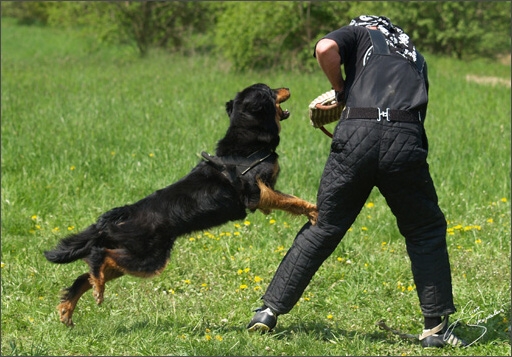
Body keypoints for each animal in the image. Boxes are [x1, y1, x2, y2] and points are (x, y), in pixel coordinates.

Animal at [45, 83, 316, 326]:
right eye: (271, 90)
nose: (287, 86)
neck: (247, 143)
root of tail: (124, 213)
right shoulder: (258, 192)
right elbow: (292, 200)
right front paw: (314, 211)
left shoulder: (263, 197)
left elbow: (289, 201)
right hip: (148, 258)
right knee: (98, 255)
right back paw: (94, 286)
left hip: (135, 254)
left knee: (84, 276)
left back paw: (68, 309)